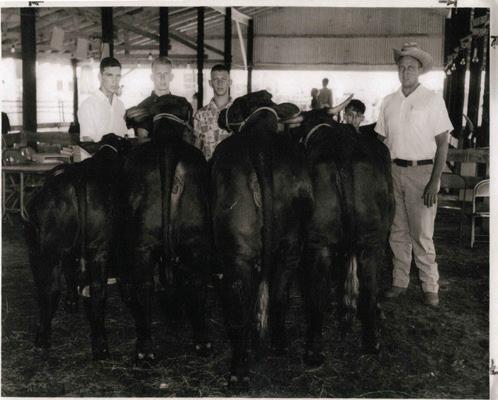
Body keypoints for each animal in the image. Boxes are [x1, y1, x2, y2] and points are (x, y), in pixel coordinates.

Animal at [24, 133, 132, 360]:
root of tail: (79, 178)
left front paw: (72, 301)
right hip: (98, 249)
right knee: (97, 291)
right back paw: (101, 347)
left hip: (46, 251)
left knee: (49, 290)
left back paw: (43, 339)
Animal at [119, 94, 212, 366]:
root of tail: (167, 147)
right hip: (196, 238)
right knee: (196, 281)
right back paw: (201, 341)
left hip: (143, 242)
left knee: (144, 285)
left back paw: (145, 348)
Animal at [211, 90, 314, 387]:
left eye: (235, 107)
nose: (221, 114)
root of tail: (260, 147)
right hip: (293, 241)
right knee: (280, 293)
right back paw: (279, 343)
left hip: (238, 249)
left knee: (238, 300)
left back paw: (238, 370)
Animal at [288, 101, 394, 365]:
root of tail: (343, 156)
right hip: (367, 240)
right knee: (368, 286)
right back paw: (371, 341)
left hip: (322, 241)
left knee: (320, 290)